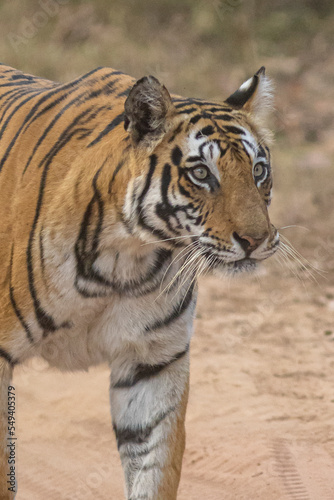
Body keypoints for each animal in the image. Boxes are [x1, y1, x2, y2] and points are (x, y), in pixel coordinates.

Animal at [0, 63, 280, 500]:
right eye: (202, 174)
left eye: (258, 171)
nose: (256, 240)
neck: (127, 258)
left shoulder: (154, 362)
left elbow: (153, 469)